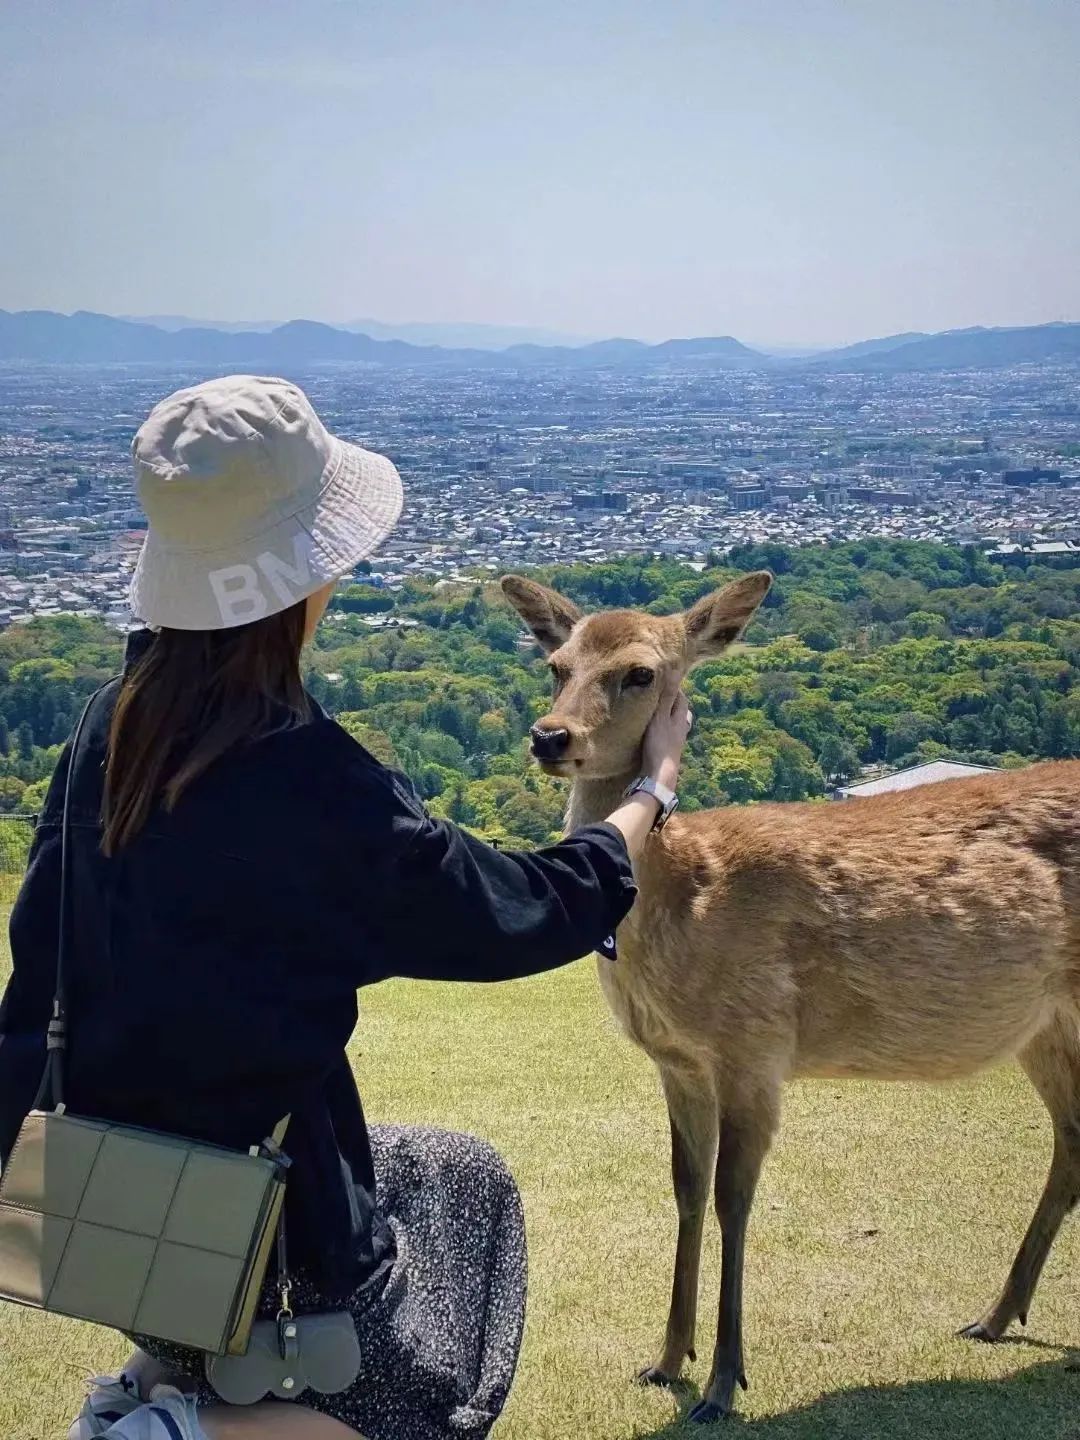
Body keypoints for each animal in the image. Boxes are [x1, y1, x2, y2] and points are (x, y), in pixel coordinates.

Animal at [498, 567, 1080, 1422]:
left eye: (640, 673)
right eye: (555, 664)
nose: (551, 737)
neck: (685, 901)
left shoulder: (755, 1043)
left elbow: (732, 1200)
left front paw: (721, 1383)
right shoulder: (678, 1062)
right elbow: (685, 1188)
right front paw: (665, 1359)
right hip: (1045, 1024)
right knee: (1073, 1138)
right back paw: (995, 1315)